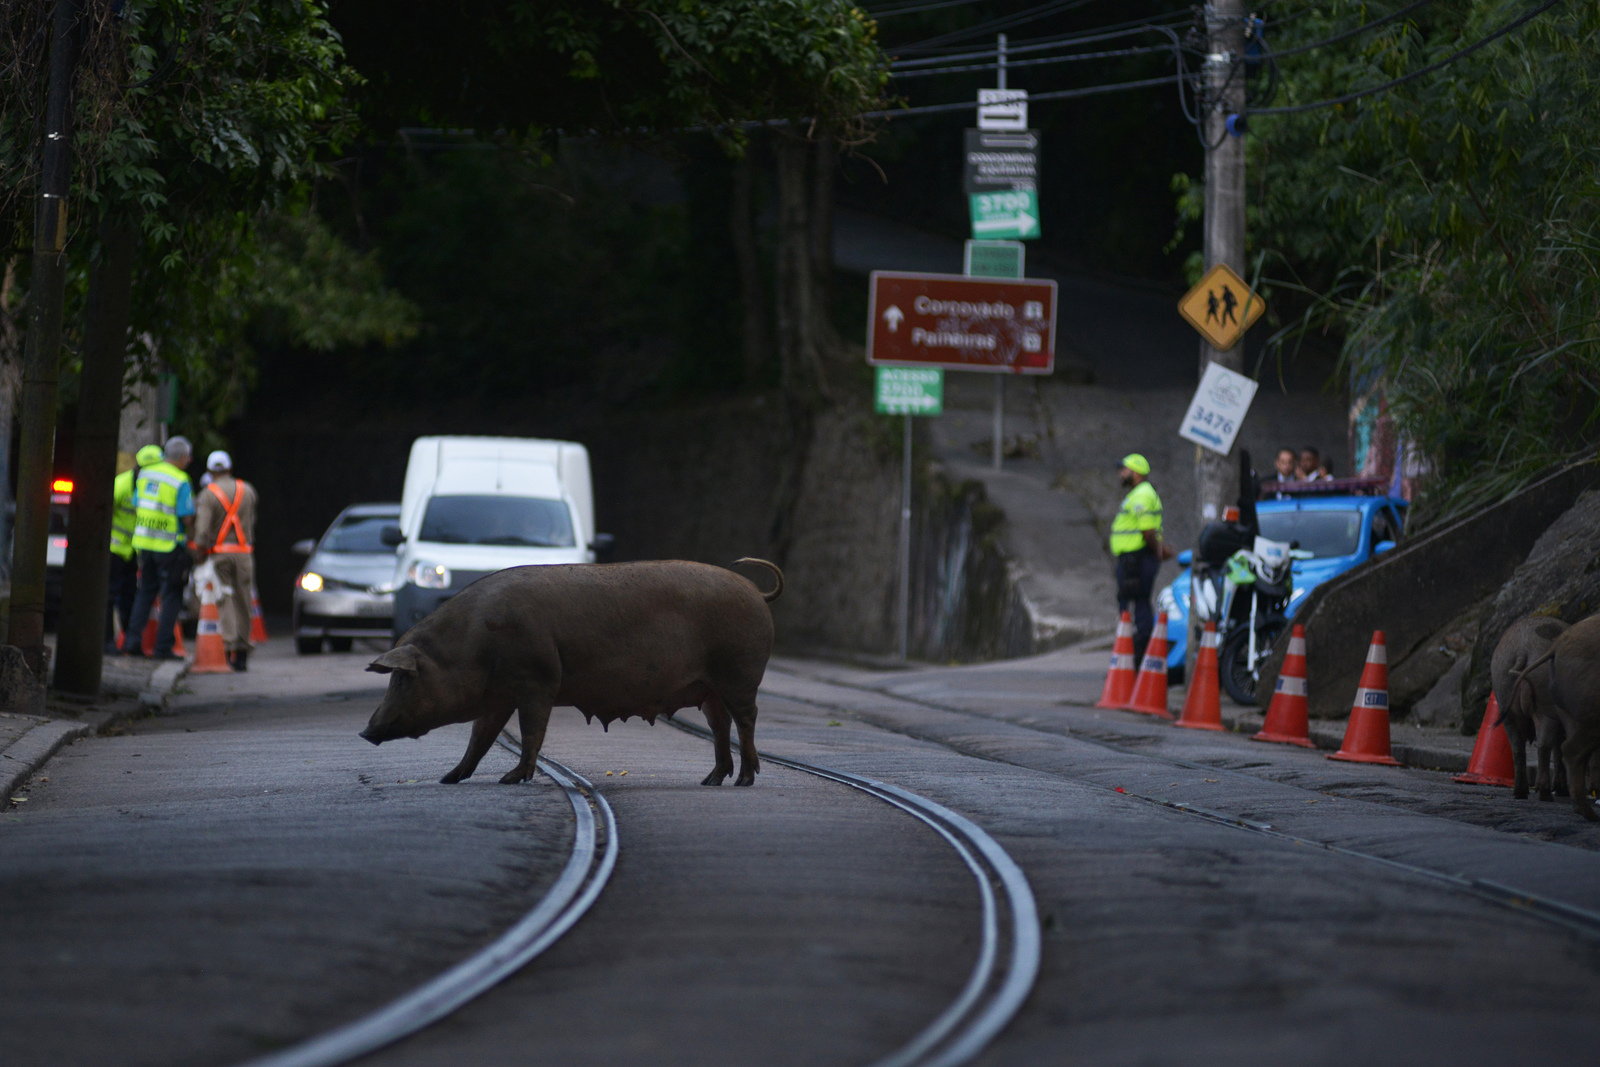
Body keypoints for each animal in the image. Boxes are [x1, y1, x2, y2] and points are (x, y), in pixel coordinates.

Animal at [364, 559, 787, 783]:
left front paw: (512, 779)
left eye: (404, 677)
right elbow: (479, 738)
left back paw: (746, 779)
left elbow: (532, 731)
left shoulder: (538, 680)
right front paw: (449, 778)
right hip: (709, 687)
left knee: (747, 718)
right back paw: (711, 779)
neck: (472, 644)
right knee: (720, 725)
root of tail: (756, 590)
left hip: (739, 674)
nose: (366, 731)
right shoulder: (499, 695)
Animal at [1491, 614, 1568, 796]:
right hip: (1545, 704)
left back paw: (1520, 793)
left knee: (1517, 747)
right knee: (1544, 744)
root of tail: (1521, 650)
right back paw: (1545, 793)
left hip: (1503, 692)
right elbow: (1560, 749)